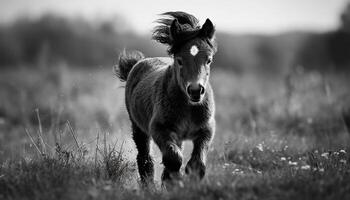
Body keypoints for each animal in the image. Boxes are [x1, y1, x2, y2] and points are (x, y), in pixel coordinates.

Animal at [116, 10, 217, 186]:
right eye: (180, 60)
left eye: (209, 60)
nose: (195, 91)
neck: (189, 107)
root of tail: (139, 62)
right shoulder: (159, 128)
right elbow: (174, 158)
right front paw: (172, 182)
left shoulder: (206, 130)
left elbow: (197, 163)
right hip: (138, 127)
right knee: (145, 158)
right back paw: (148, 185)